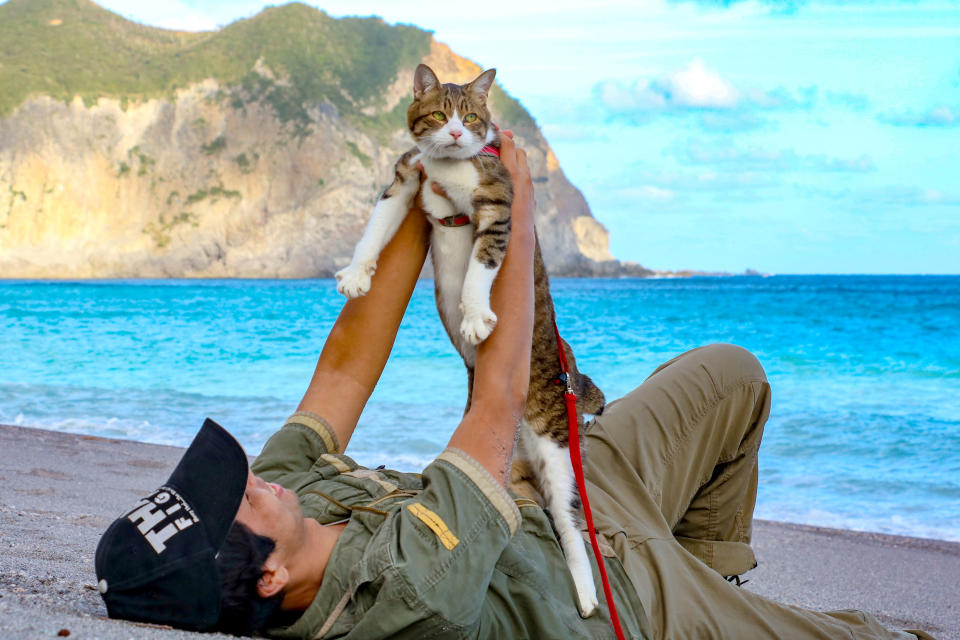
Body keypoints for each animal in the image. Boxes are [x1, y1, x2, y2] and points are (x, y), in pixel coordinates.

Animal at [338, 63, 604, 616]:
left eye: (474, 117)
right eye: (441, 115)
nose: (460, 134)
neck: (447, 168)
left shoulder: (499, 204)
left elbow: (482, 264)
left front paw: (477, 313)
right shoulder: (406, 179)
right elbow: (376, 225)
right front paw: (356, 273)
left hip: (556, 442)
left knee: (569, 520)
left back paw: (586, 590)